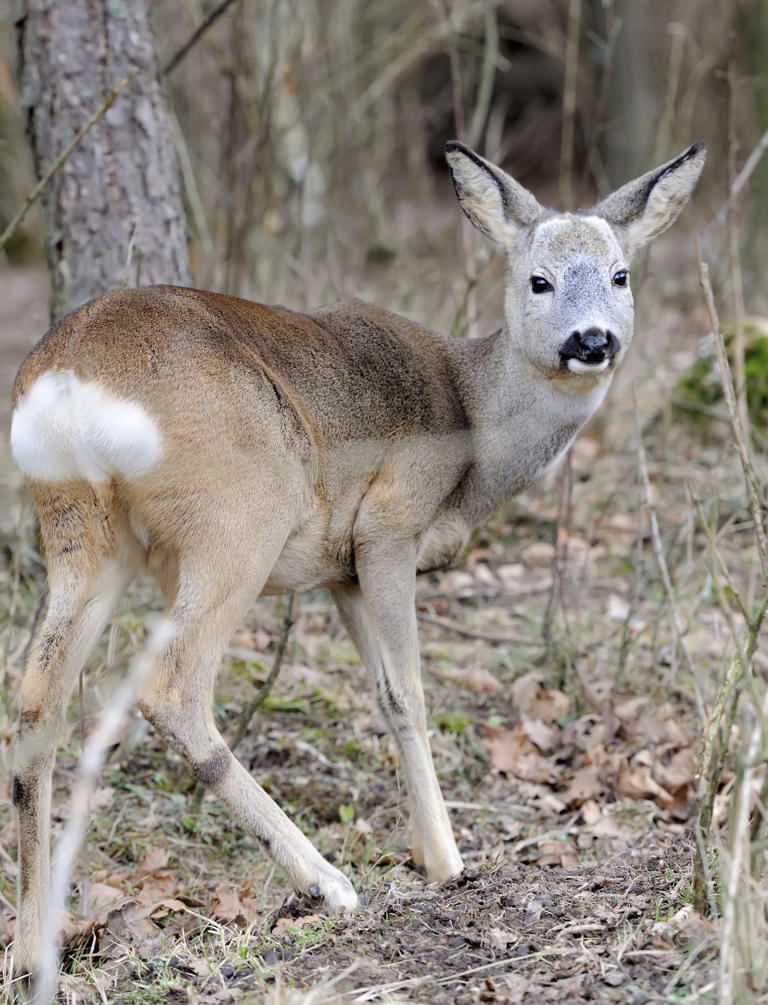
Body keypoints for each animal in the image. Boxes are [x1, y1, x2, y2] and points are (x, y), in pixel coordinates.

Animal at [10, 139, 705, 980]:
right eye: (537, 279)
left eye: (621, 274)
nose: (593, 340)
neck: (473, 424)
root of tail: (68, 382)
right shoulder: (389, 522)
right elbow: (409, 691)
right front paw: (449, 863)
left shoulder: (338, 567)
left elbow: (380, 690)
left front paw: (430, 849)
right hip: (240, 514)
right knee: (170, 687)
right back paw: (326, 881)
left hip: (81, 534)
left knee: (36, 700)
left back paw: (33, 945)